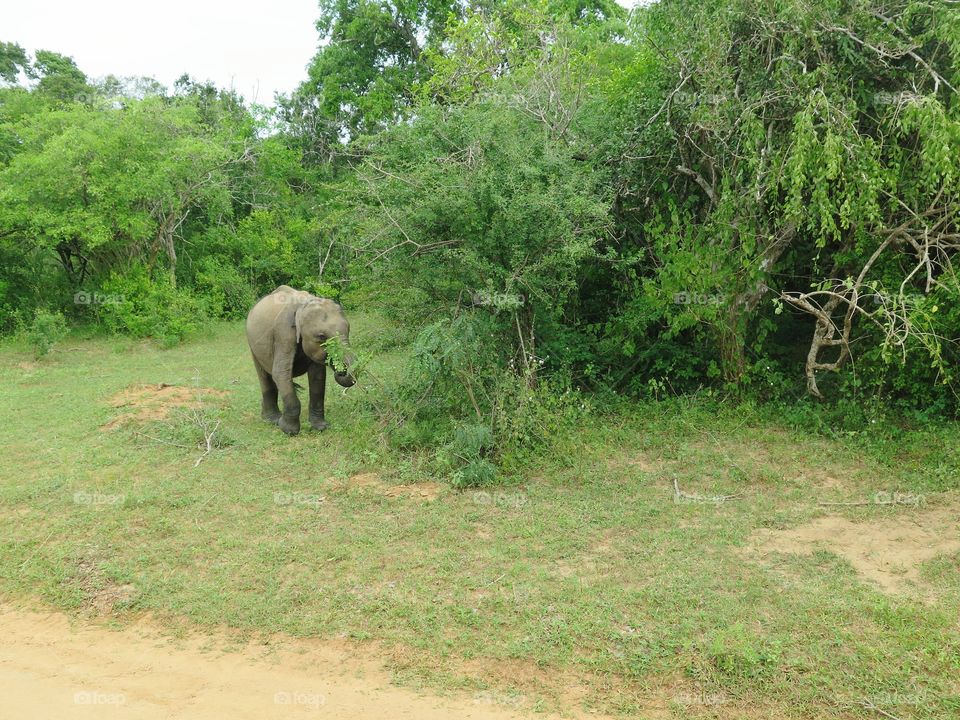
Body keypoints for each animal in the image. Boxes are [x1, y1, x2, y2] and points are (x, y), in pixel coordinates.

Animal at [245, 285, 356, 435]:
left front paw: (320, 427)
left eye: (348, 329)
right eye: (321, 336)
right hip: (252, 344)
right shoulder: (283, 332)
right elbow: (280, 373)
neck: (303, 305)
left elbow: (317, 376)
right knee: (265, 376)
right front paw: (288, 430)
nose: (340, 371)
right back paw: (273, 419)